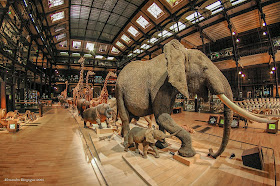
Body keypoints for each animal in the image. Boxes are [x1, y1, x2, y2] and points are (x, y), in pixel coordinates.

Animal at [116, 39, 276, 158]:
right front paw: (187, 154)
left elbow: (165, 116)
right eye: (205, 68)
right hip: (119, 90)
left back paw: (122, 136)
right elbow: (162, 117)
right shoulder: (159, 85)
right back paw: (126, 142)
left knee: (129, 117)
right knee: (125, 117)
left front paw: (162, 145)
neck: (181, 54)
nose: (211, 152)